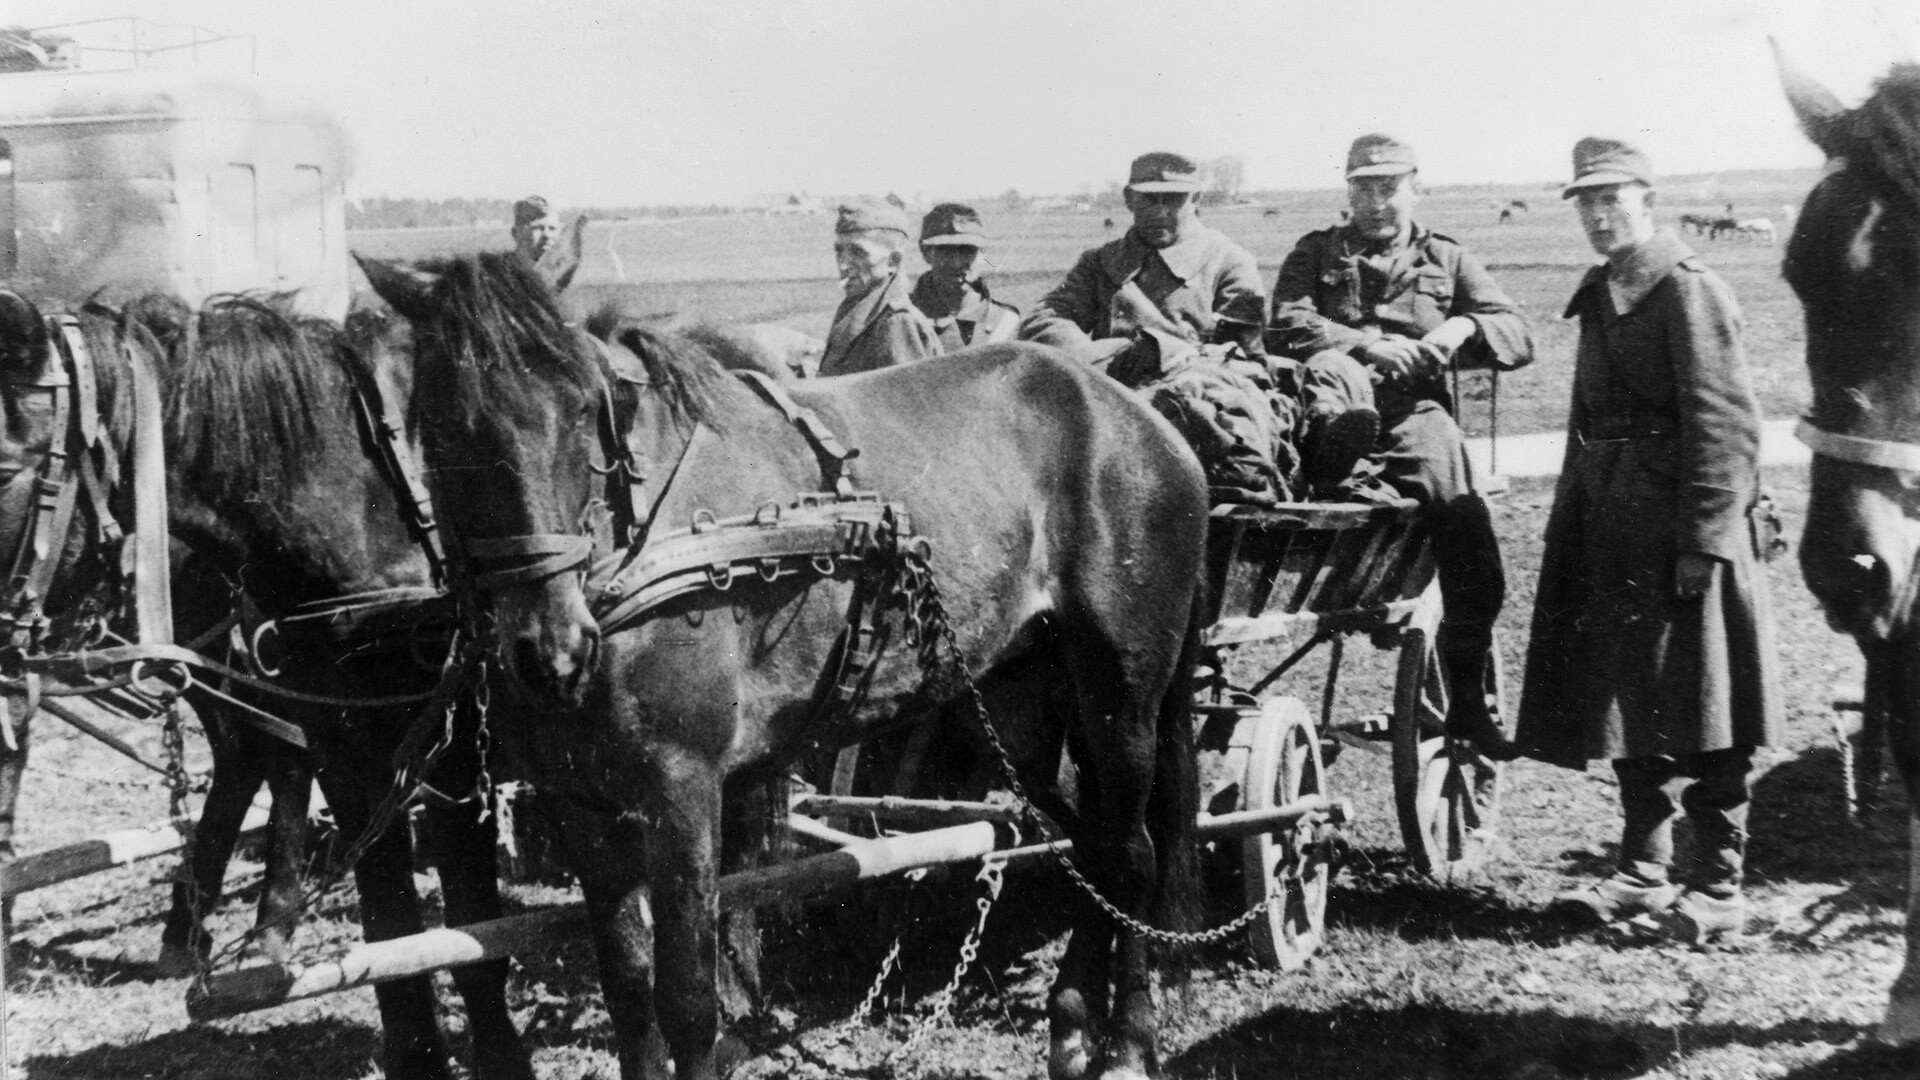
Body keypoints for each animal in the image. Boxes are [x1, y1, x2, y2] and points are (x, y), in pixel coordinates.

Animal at [0, 290, 537, 1068]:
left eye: (5, 469)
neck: (380, 511)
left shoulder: (453, 765)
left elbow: (470, 935)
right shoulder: (353, 760)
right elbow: (391, 929)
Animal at [353, 251, 1205, 1076]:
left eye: (583, 410)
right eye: (445, 427)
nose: (552, 651)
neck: (641, 547)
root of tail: (1135, 415)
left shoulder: (683, 790)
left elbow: (687, 1002)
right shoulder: (583, 804)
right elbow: (628, 992)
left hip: (1121, 696)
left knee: (1133, 853)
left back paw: (1128, 1041)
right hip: (1018, 705)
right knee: (1092, 844)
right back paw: (1071, 1022)